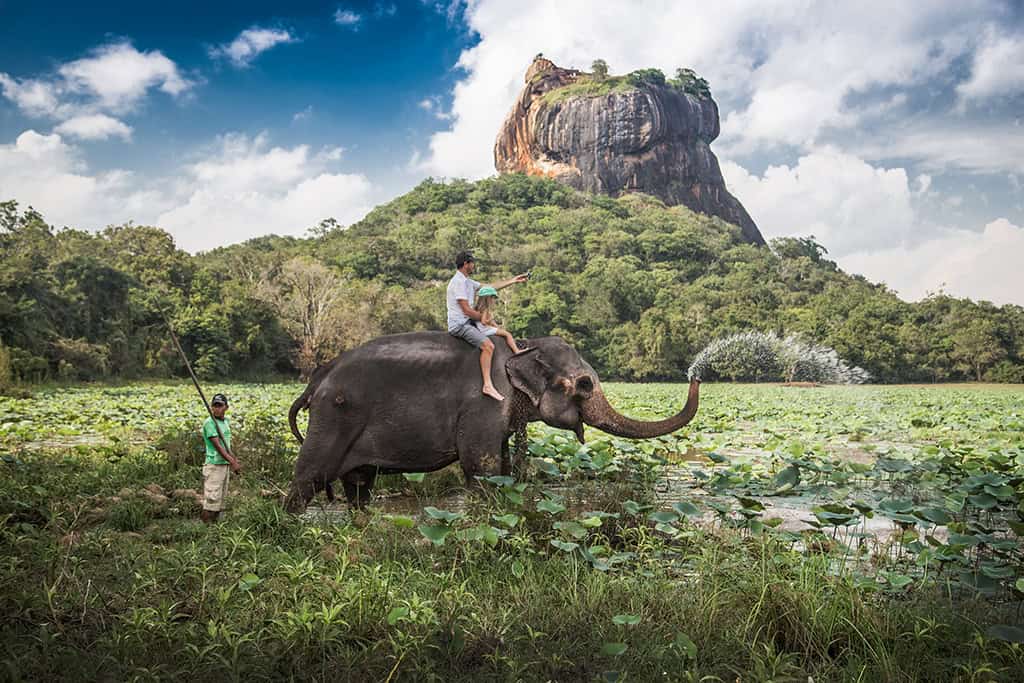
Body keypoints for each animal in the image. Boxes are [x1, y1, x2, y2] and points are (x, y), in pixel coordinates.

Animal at [283, 331, 700, 512]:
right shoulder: (483, 404)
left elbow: (501, 467)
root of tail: (317, 379)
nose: (696, 374)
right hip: (333, 417)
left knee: (359, 485)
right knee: (309, 478)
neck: (523, 347)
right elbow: (481, 467)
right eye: (583, 385)